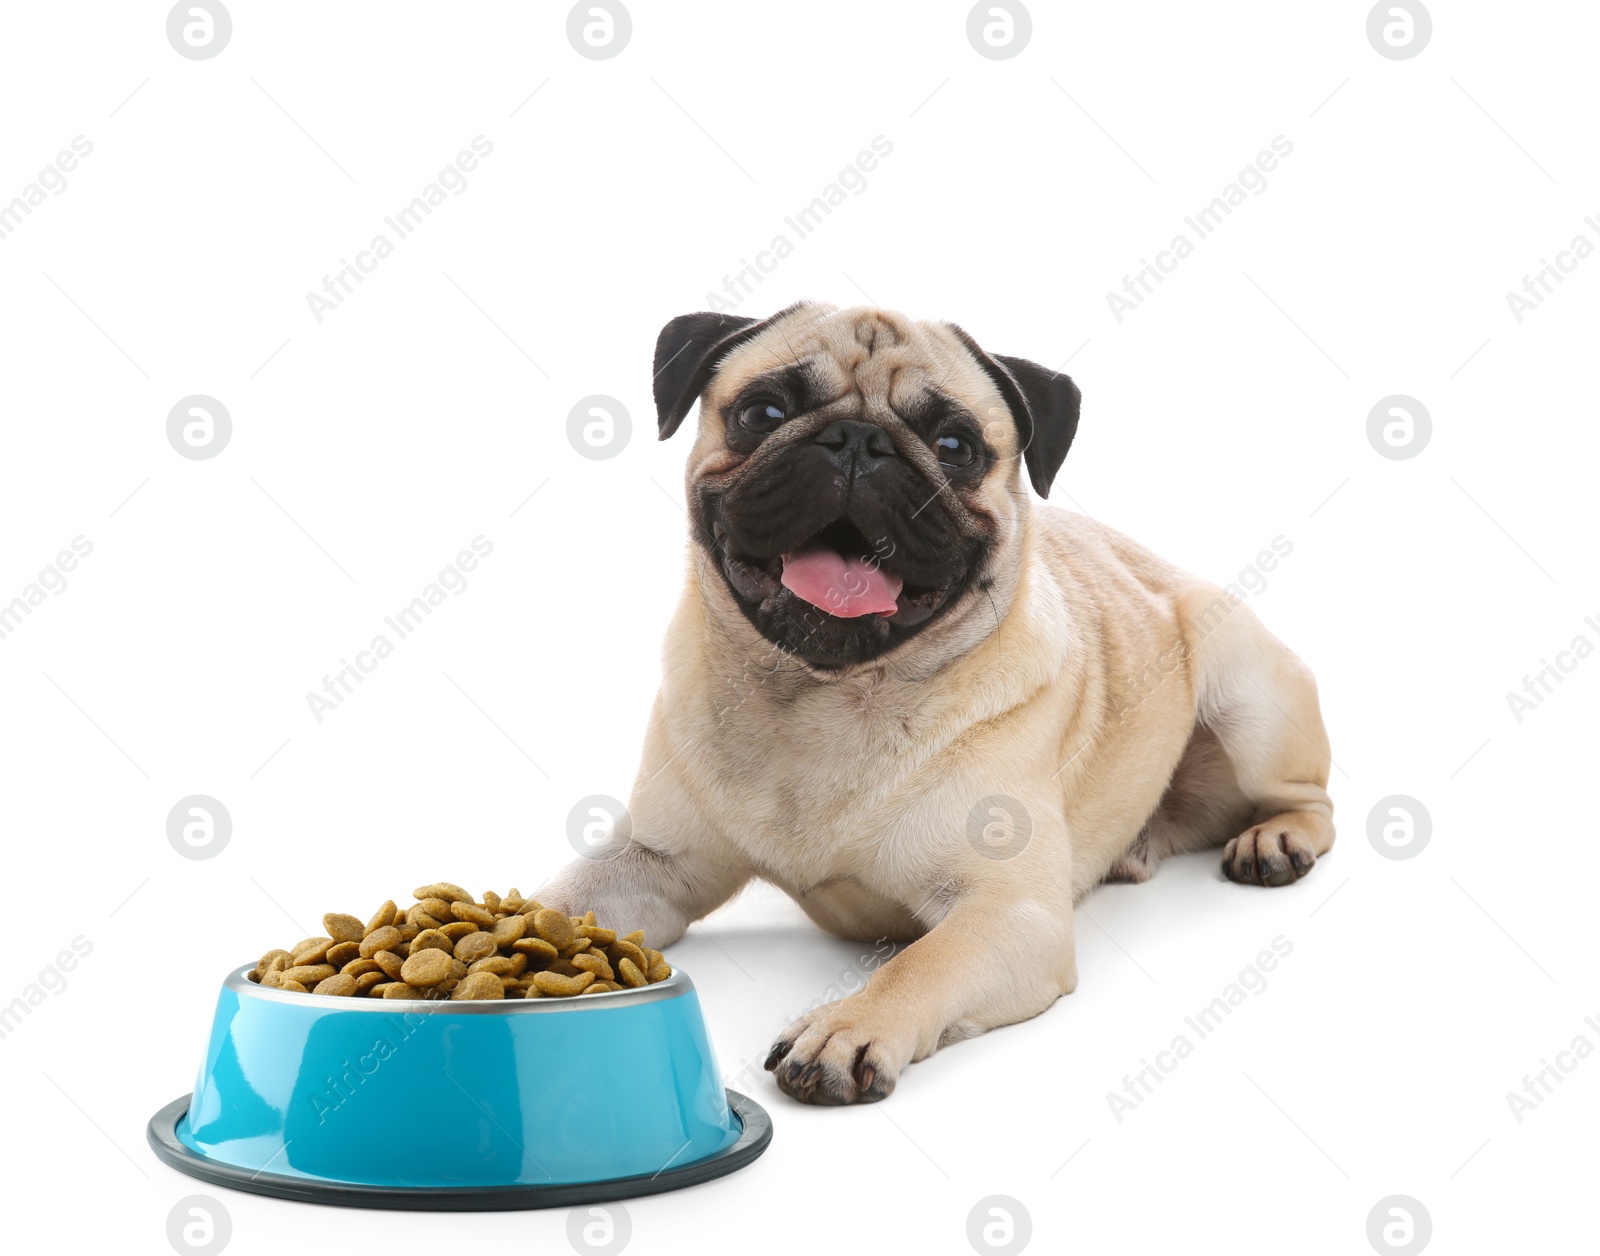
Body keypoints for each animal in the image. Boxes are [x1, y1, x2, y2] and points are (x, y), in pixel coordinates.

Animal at [540, 299, 1337, 1100]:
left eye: (955, 446)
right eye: (763, 412)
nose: (856, 441)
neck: (826, 696)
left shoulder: (1008, 911)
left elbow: (921, 963)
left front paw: (847, 1027)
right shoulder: (655, 861)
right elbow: (561, 901)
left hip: (1246, 691)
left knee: (1310, 799)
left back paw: (1275, 840)